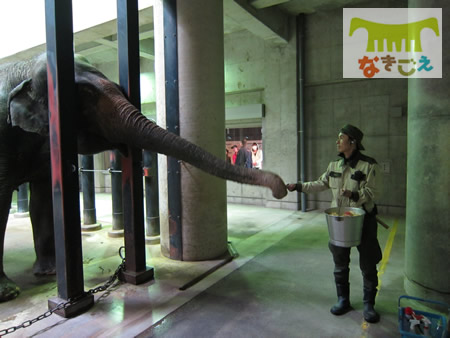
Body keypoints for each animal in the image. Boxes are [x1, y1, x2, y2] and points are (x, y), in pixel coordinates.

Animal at [0, 54, 286, 302]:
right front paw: (9, 293)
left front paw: (49, 272)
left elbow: (44, 199)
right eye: (85, 96)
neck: (26, 66)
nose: (282, 188)